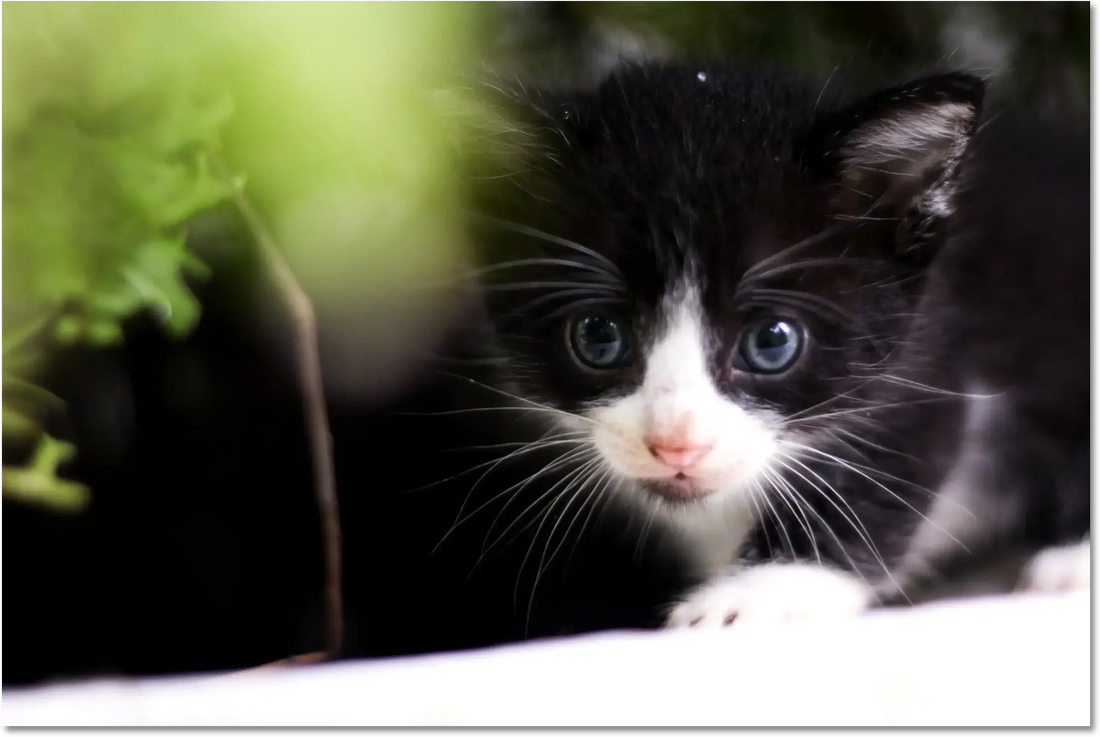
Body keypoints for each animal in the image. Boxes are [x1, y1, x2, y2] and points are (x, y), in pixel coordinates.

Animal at [457, 60, 1091, 629]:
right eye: (597, 335)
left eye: (771, 341)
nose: (676, 445)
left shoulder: (929, 357)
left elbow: (886, 466)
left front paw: (757, 592)